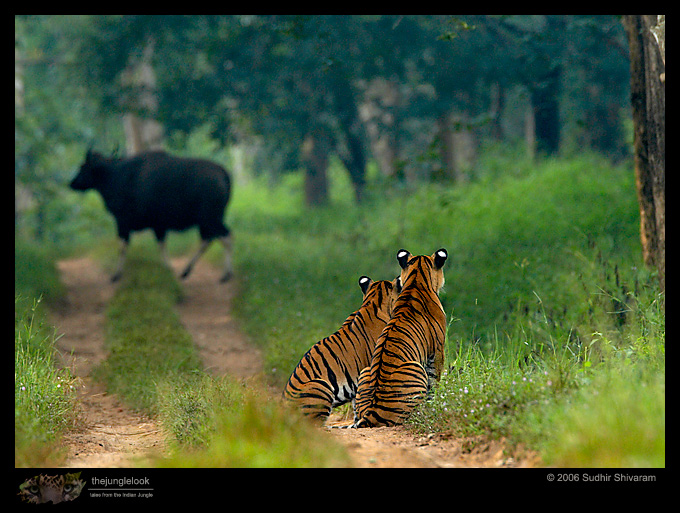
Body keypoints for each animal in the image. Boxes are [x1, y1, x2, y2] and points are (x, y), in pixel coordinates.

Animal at [354, 248, 448, 428]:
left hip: (365, 370)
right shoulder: (438, 351)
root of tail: (371, 412)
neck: (416, 280)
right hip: (415, 367)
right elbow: (434, 381)